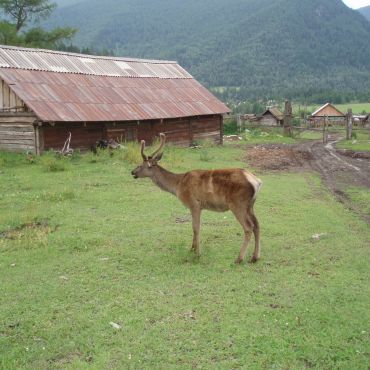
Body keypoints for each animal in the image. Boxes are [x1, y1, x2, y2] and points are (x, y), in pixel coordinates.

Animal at [132, 133, 262, 264]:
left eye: (141, 165)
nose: (132, 172)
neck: (178, 185)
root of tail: (256, 181)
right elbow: (194, 227)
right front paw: (192, 249)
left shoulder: (194, 203)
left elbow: (196, 228)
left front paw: (197, 254)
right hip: (250, 205)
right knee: (257, 225)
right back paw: (254, 257)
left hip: (237, 203)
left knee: (248, 227)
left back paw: (239, 259)